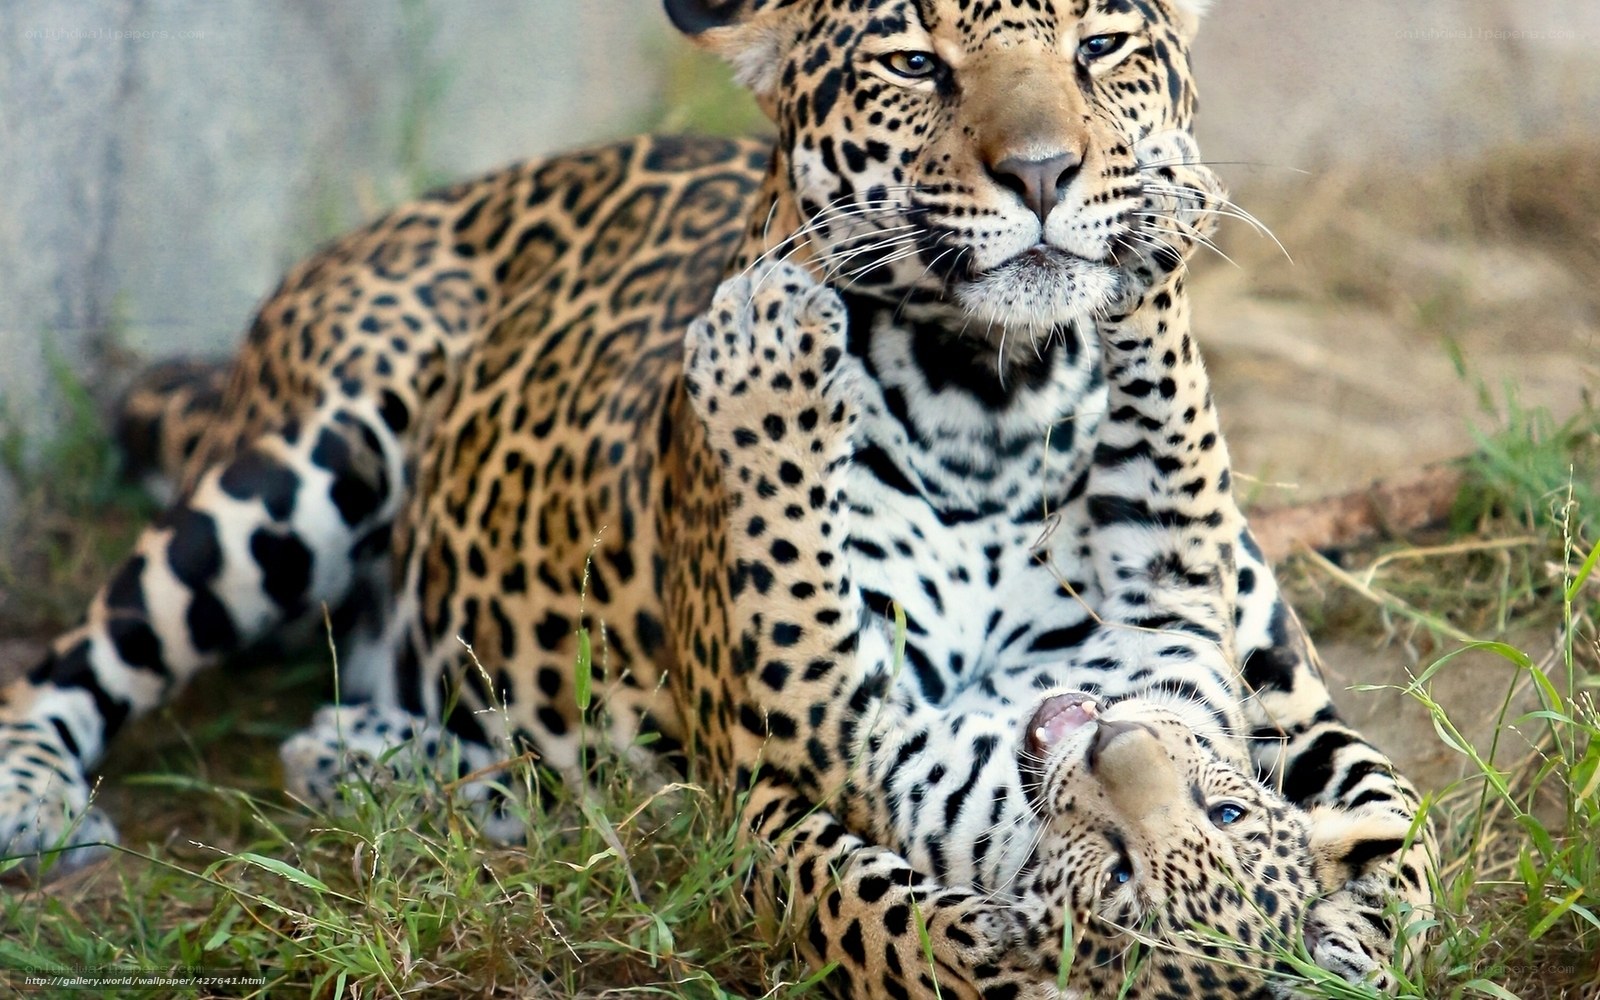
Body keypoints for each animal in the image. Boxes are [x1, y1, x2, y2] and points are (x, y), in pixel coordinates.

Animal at [0, 1, 1434, 996]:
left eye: (1103, 48)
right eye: (914, 63)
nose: (1045, 175)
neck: (998, 407)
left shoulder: (1249, 693)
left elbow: (1396, 830)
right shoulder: (779, 769)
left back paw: (389, 764)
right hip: (314, 453)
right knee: (84, 648)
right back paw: (38, 796)